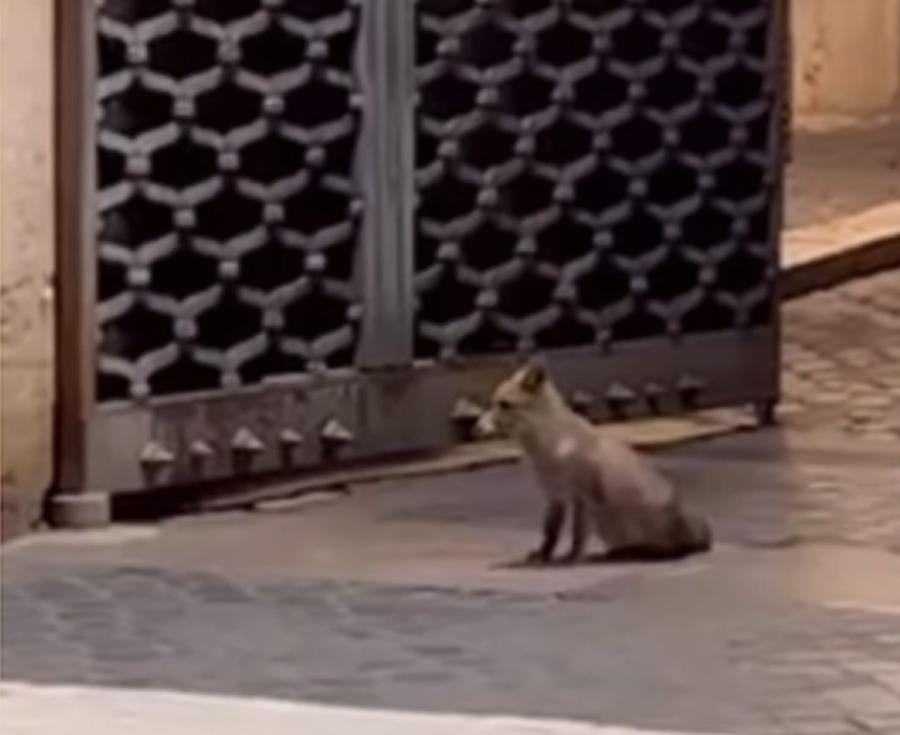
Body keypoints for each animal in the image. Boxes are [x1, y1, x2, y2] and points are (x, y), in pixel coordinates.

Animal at [474, 358, 712, 564]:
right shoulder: (554, 497)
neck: (549, 445)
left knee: (666, 551)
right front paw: (543, 556)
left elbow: (577, 534)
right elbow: (550, 533)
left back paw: (626, 553)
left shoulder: (582, 496)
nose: (477, 428)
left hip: (607, 518)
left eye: (504, 404)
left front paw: (572, 557)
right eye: (494, 403)